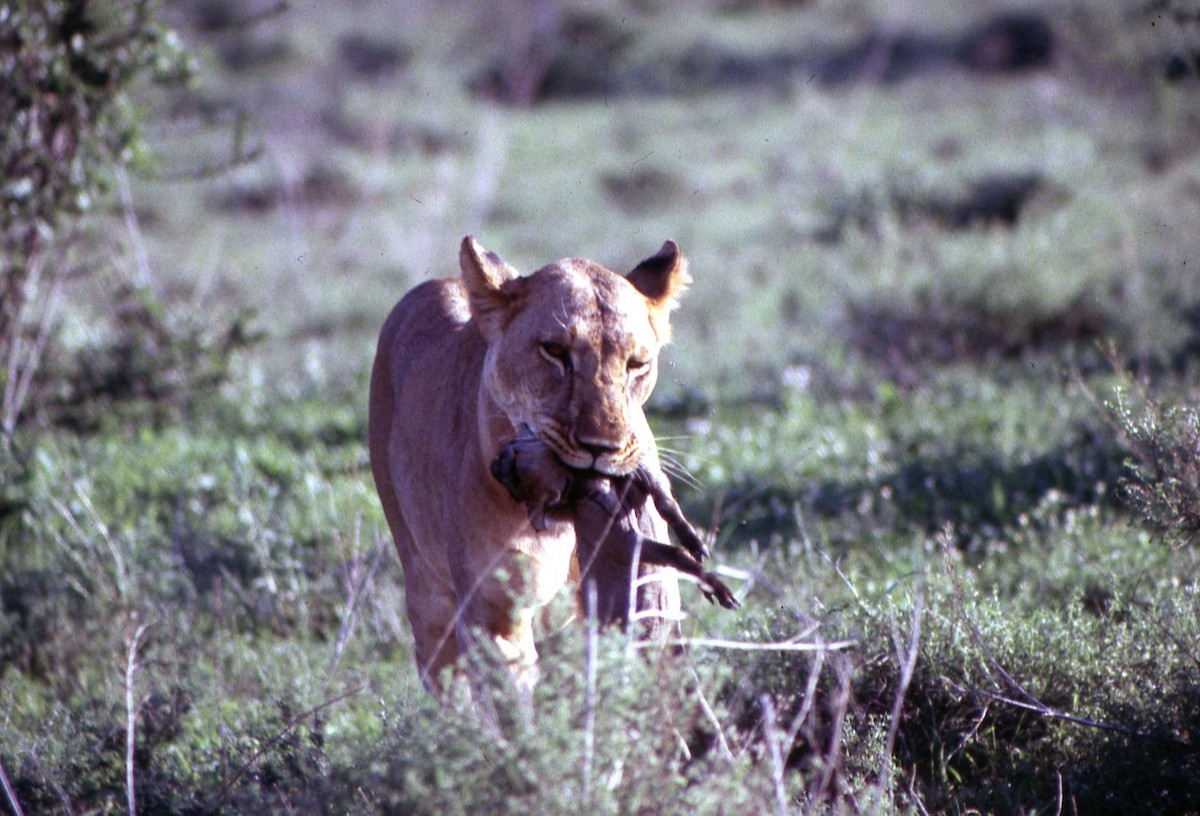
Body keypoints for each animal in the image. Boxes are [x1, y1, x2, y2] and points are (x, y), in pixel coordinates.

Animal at [368, 236, 690, 693]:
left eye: (636, 364)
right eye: (554, 352)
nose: (601, 447)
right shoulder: (493, 613)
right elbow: (514, 698)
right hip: (425, 589)